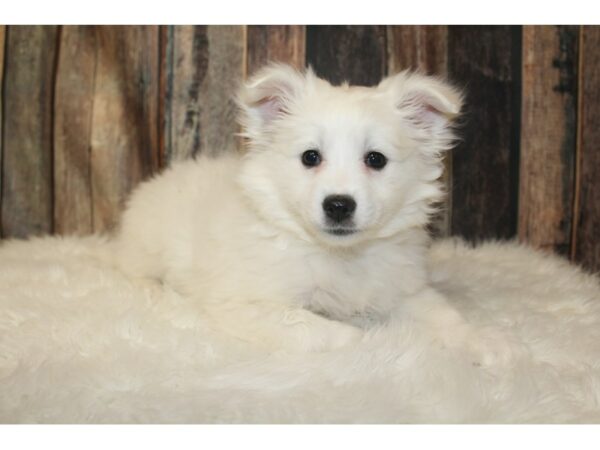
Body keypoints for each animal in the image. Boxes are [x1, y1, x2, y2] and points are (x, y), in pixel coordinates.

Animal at [116, 63, 506, 364]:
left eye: (375, 159)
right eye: (310, 157)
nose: (338, 205)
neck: (340, 255)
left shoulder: (404, 290)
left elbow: (445, 316)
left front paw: (485, 344)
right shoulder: (247, 304)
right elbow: (330, 332)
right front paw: (381, 345)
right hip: (146, 247)